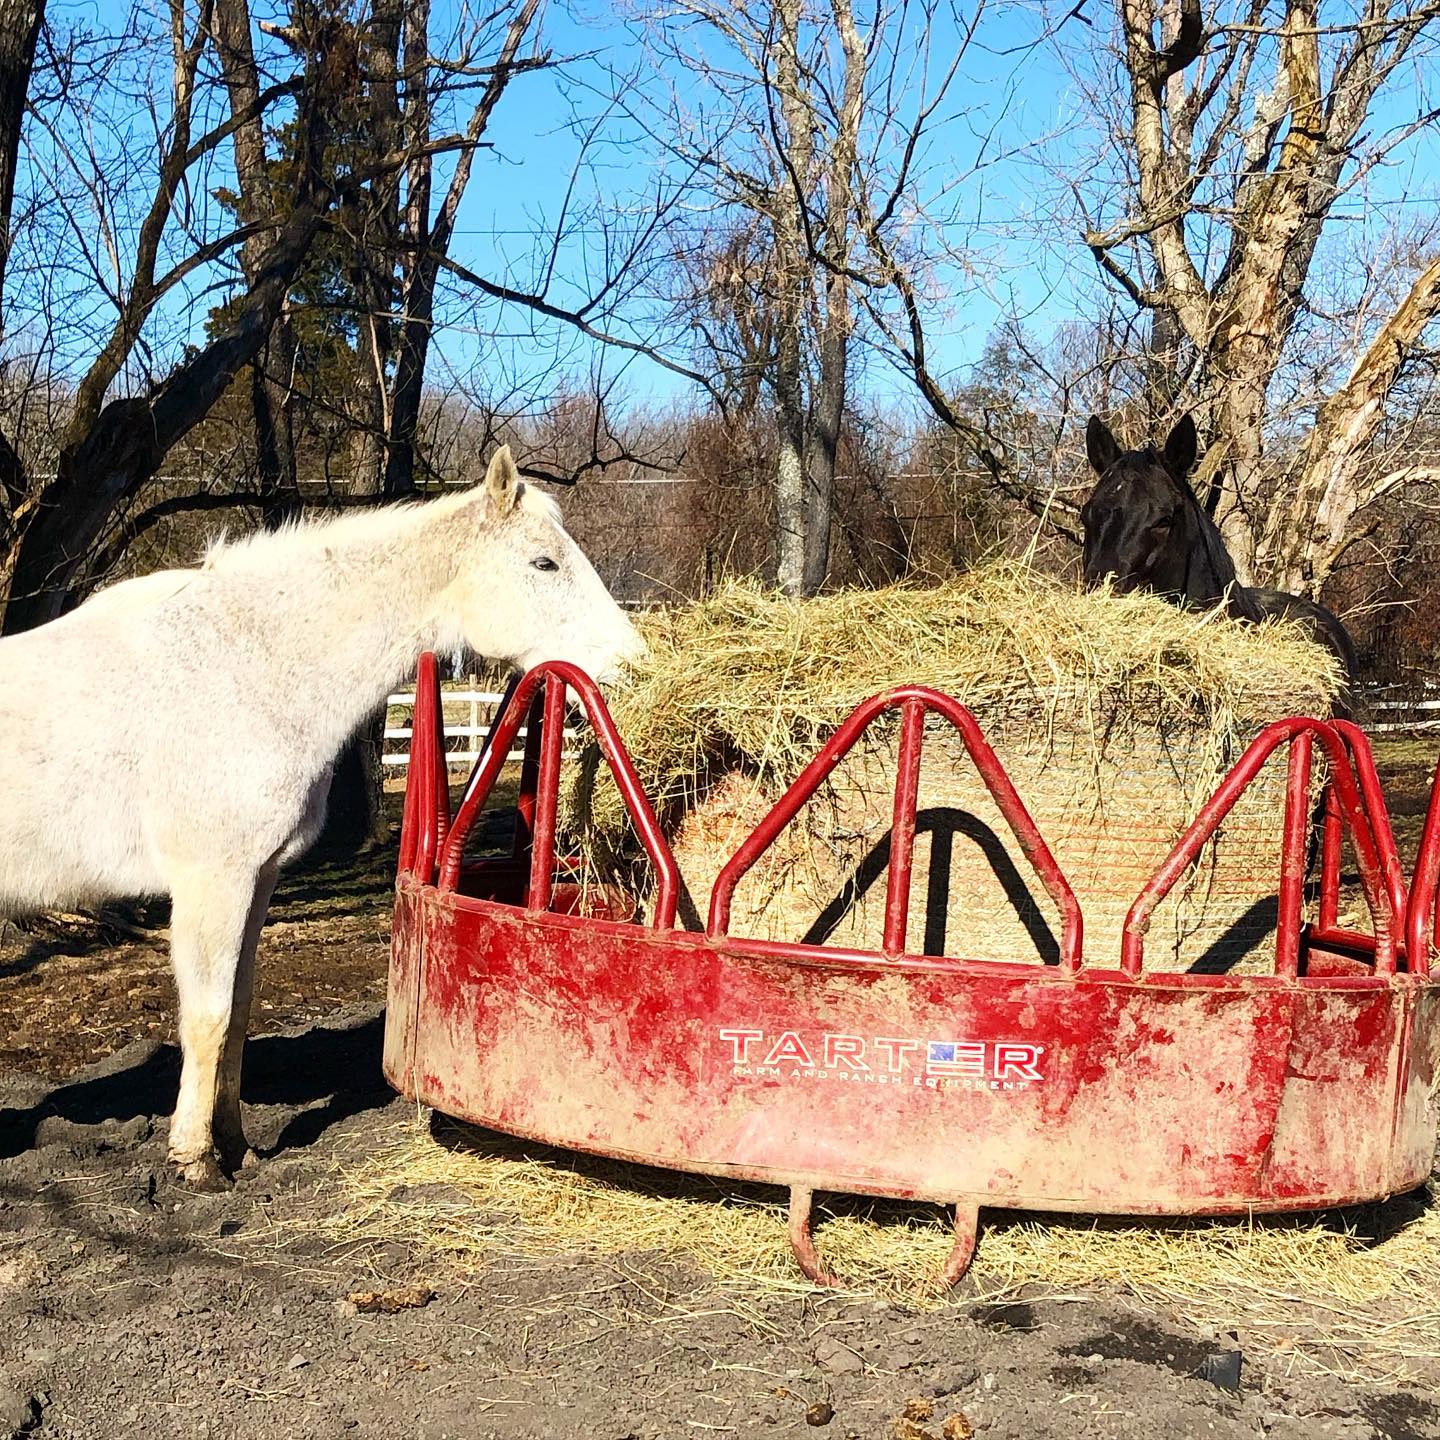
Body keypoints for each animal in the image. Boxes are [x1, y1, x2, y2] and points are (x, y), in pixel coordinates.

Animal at [0, 443, 642, 1186]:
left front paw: (235, 1146)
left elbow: (239, 1012)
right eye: (543, 563)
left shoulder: (258, 879)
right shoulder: (211, 882)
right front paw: (196, 1161)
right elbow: (207, 1016)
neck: (242, 667)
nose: (634, 662)